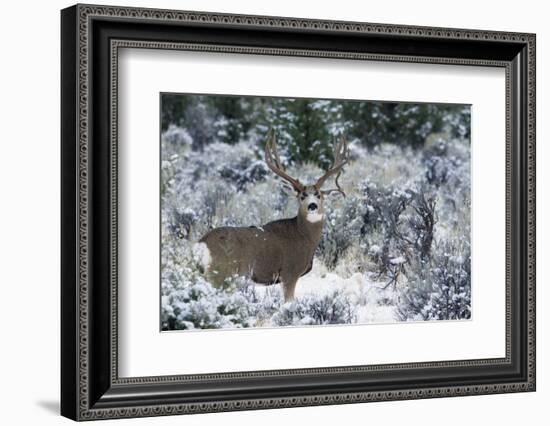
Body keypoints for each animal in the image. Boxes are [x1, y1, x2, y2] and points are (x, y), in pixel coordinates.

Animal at [194, 131, 350, 302]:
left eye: (319, 195)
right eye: (302, 196)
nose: (312, 206)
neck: (303, 237)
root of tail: (201, 245)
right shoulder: (289, 272)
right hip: (220, 273)